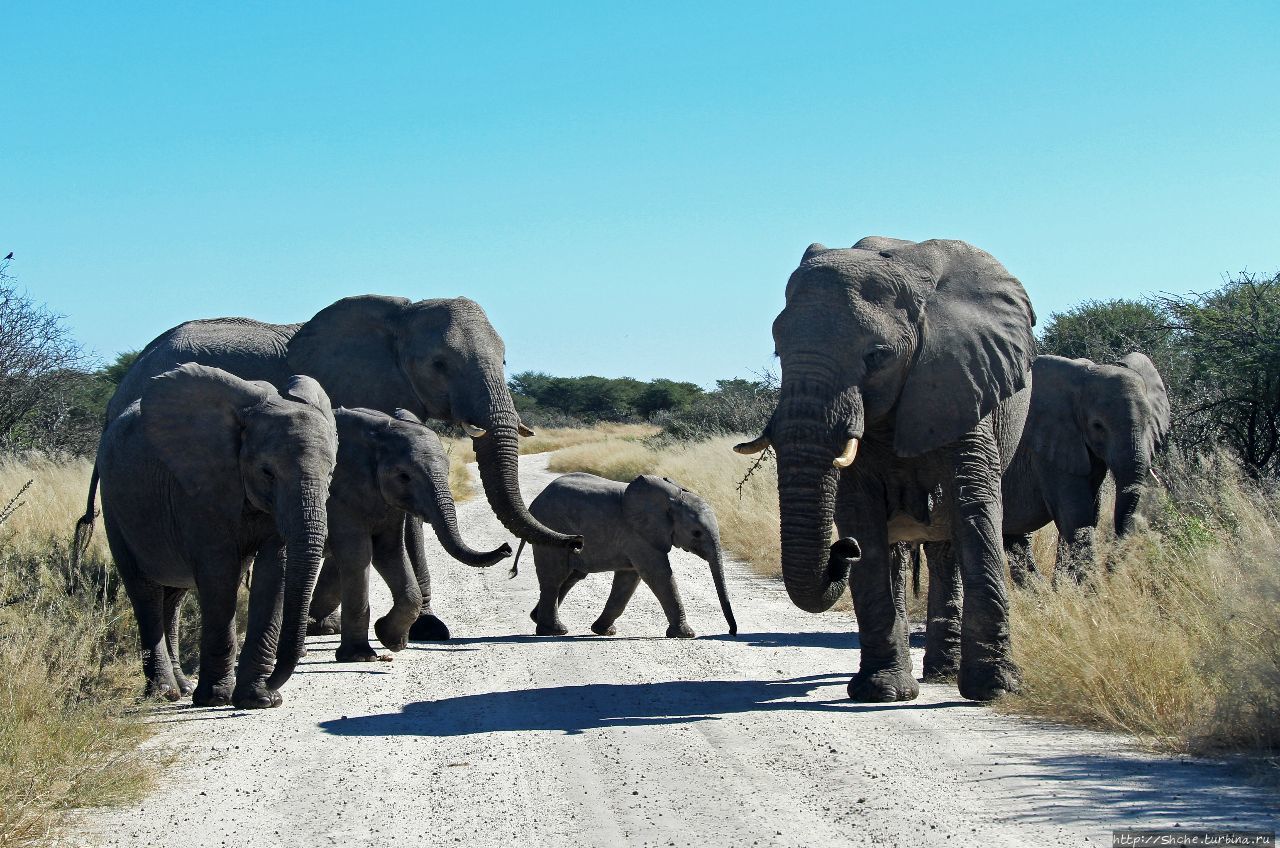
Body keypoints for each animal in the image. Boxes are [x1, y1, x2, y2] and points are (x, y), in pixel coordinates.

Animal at [94, 366, 337, 712]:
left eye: (330, 474)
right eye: (267, 472)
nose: (274, 685)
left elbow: (274, 571)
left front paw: (258, 699)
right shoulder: (199, 488)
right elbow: (219, 575)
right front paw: (217, 697)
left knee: (173, 597)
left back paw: (182, 687)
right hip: (116, 507)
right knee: (145, 592)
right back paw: (164, 692)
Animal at [307, 409, 512, 666]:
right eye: (404, 476)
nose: (506, 547)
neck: (377, 433)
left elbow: (389, 551)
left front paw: (390, 639)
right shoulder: (339, 493)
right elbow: (357, 554)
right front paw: (360, 658)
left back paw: (318, 628)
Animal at [506, 471, 737, 637]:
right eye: (696, 533)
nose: (732, 632)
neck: (673, 498)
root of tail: (534, 503)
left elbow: (629, 579)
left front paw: (604, 631)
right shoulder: (638, 535)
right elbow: (658, 575)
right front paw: (686, 634)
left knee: (571, 577)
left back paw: (538, 620)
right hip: (551, 529)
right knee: (555, 578)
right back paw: (554, 631)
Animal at [742, 239, 1039, 701]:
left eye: (877, 356)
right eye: (778, 349)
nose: (842, 548)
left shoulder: (962, 381)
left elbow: (975, 507)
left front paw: (995, 690)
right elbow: (861, 516)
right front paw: (881, 692)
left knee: (947, 543)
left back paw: (942, 674)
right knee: (904, 550)